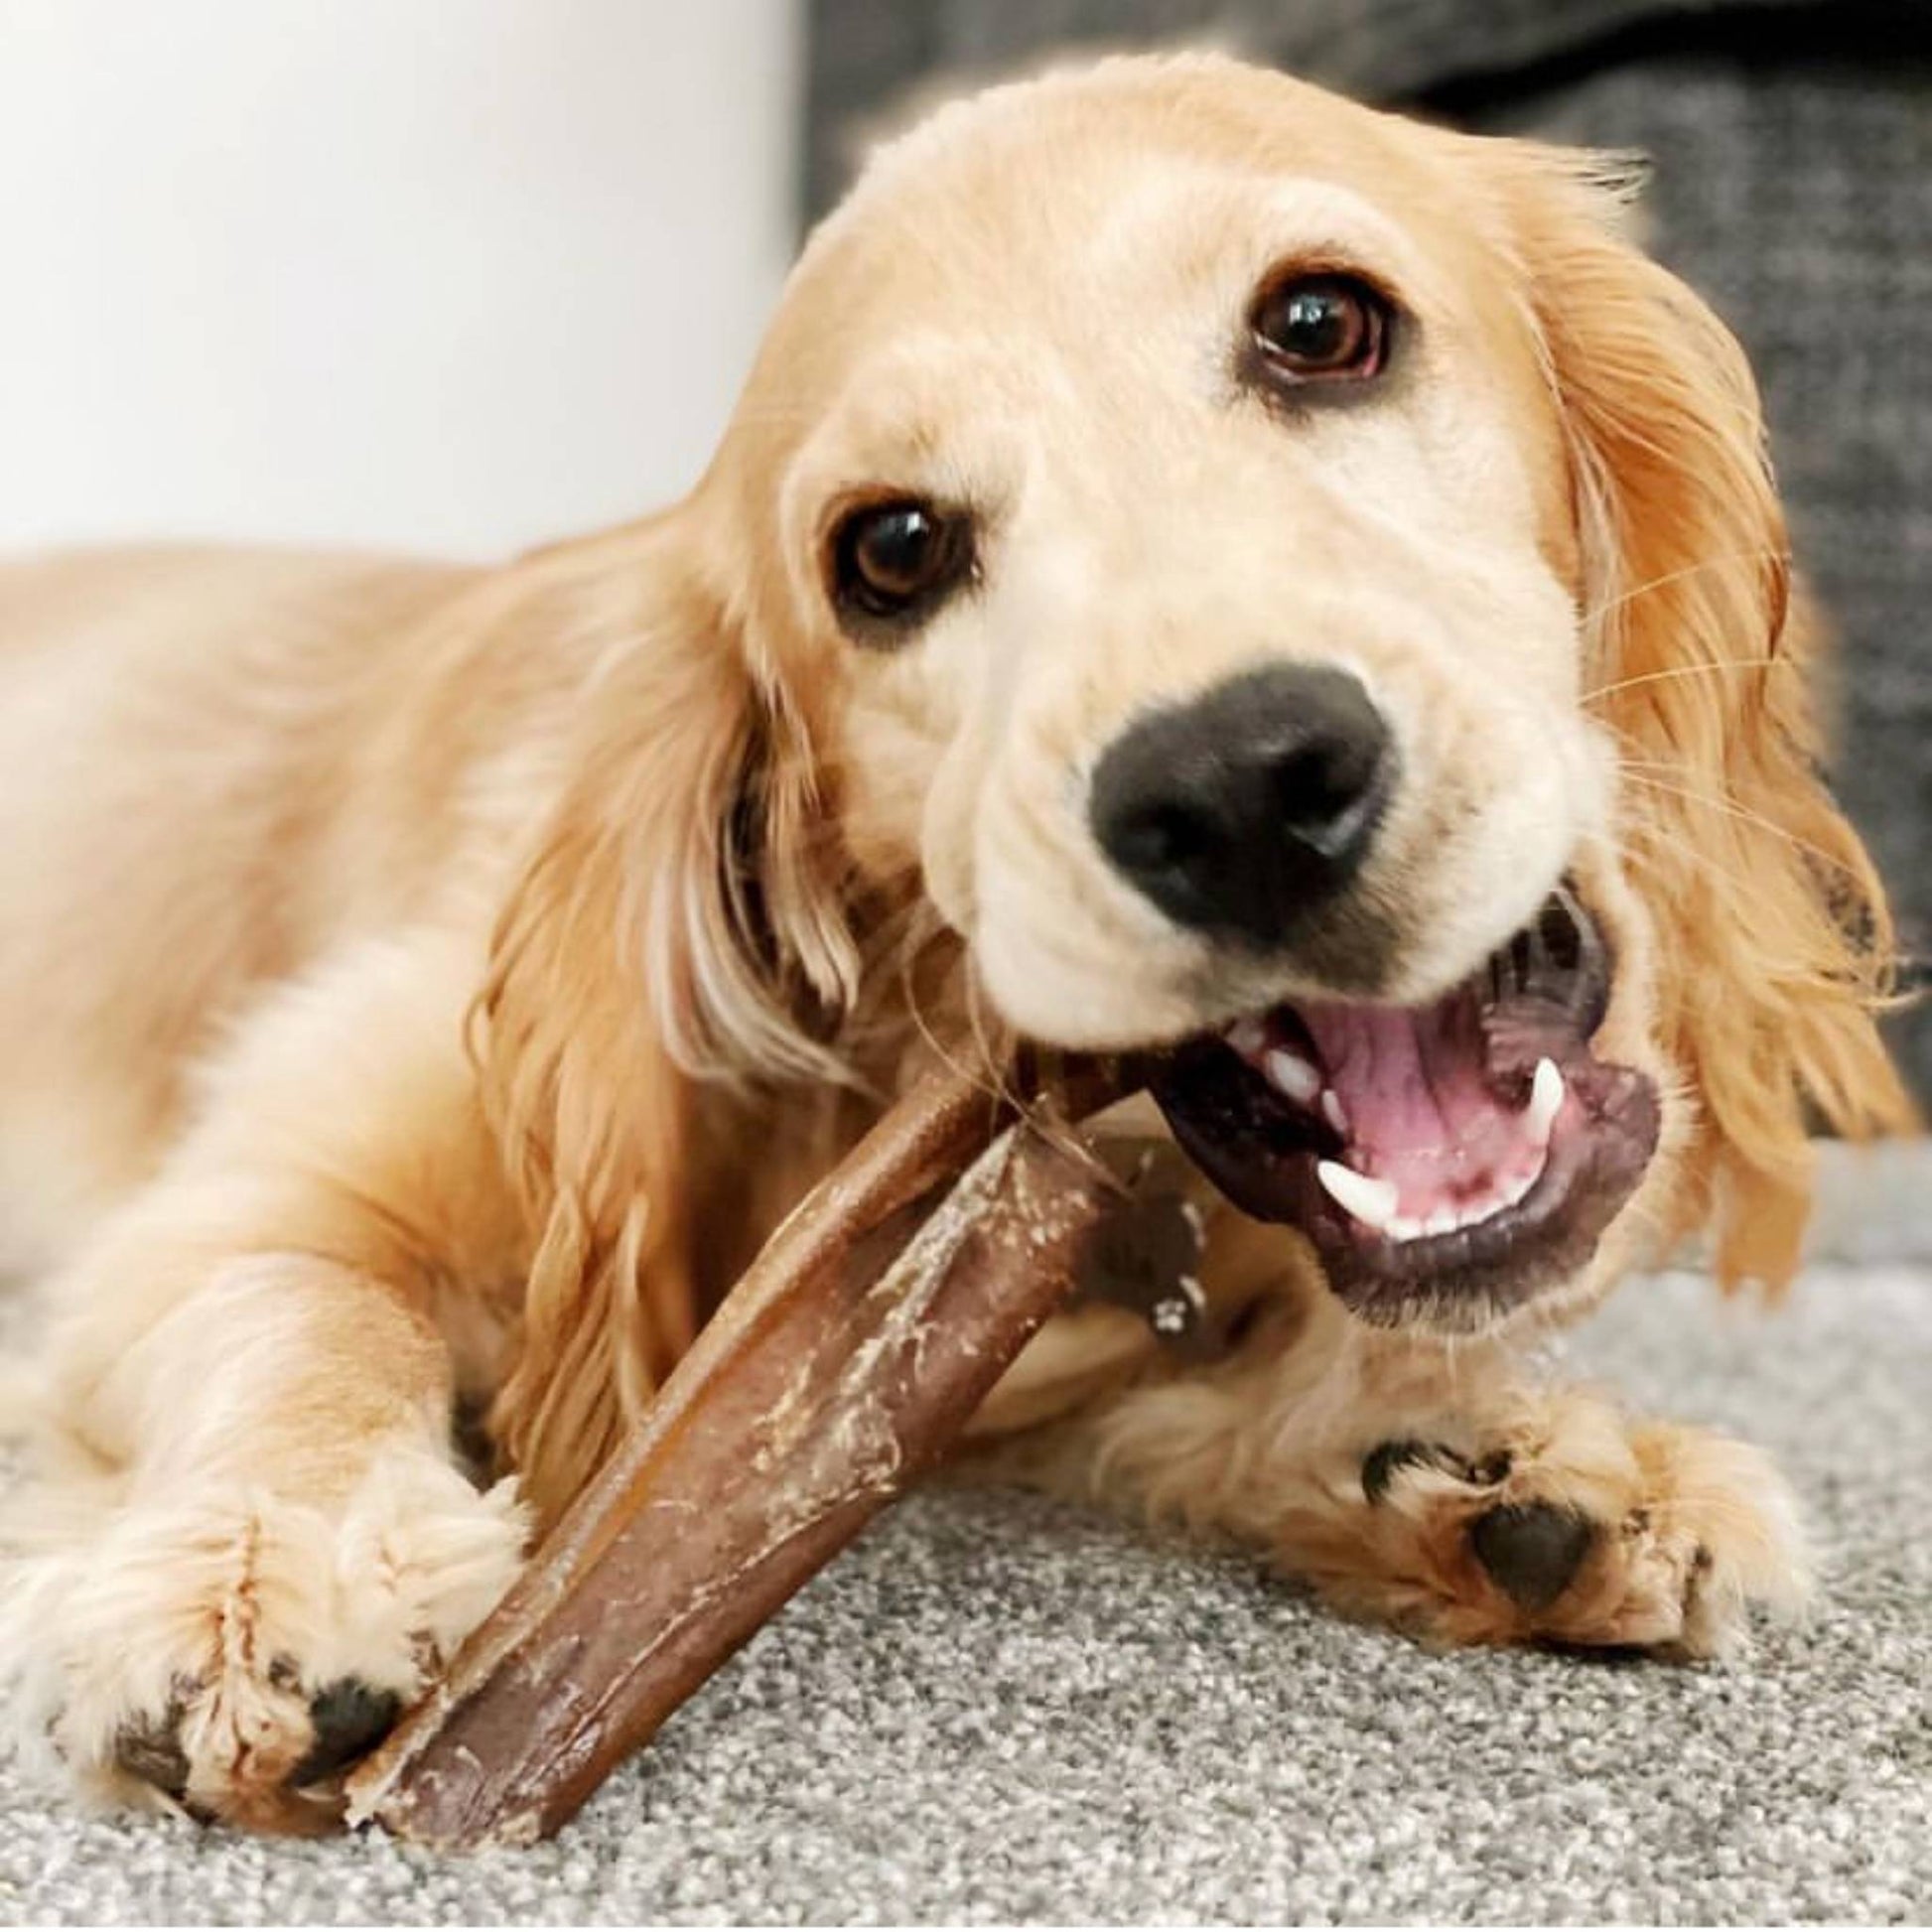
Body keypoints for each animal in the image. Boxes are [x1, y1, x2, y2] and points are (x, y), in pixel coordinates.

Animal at [0, 49, 1908, 1824]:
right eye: (894, 551)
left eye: (1320, 324)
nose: (1233, 788)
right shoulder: (242, 1205)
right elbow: (299, 1308)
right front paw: (273, 1564)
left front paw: (1500, 1458)